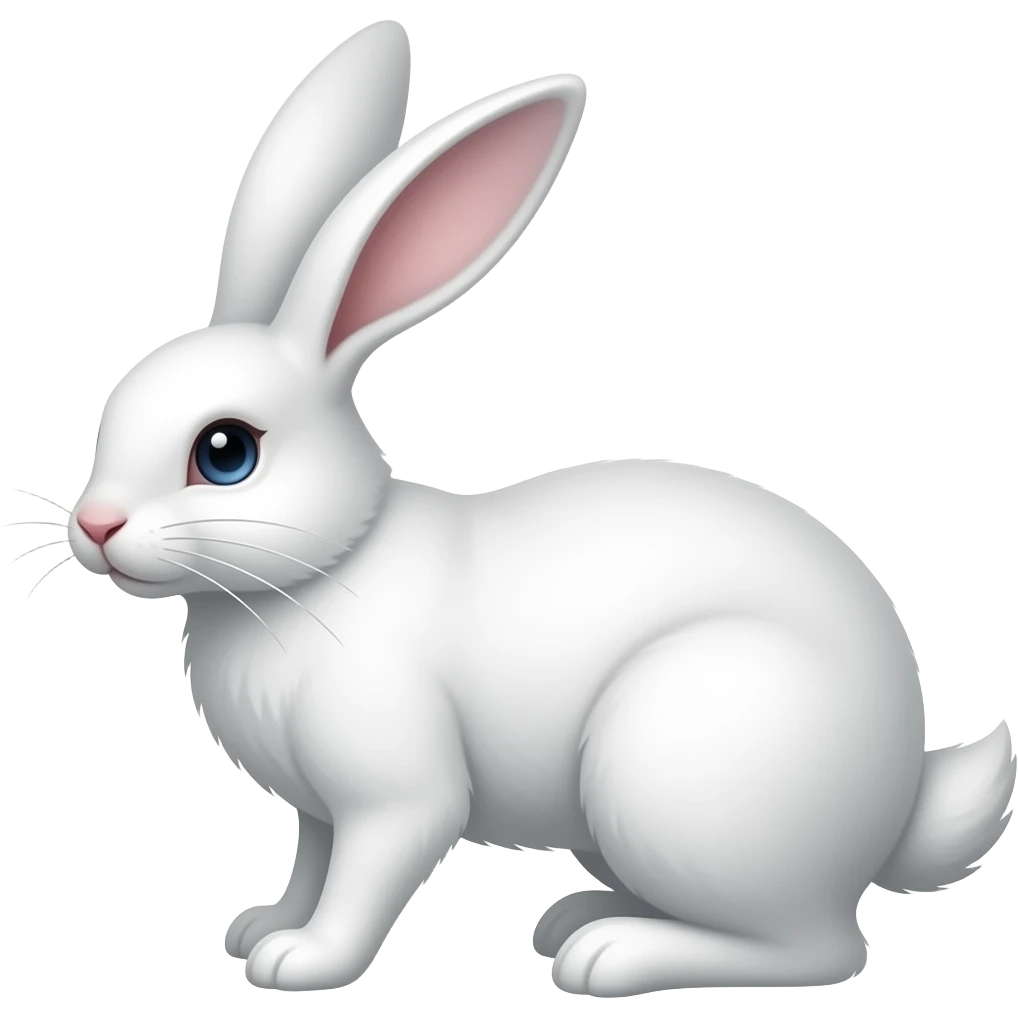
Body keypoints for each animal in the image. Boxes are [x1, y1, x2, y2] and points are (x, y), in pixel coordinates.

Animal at [63, 20, 1014, 997]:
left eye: (226, 453)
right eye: (110, 409)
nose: (95, 528)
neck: (328, 567)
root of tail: (897, 802)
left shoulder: (393, 792)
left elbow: (365, 875)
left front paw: (307, 960)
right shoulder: (322, 812)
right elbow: (312, 864)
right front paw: (262, 927)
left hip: (671, 770)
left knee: (819, 948)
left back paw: (612, 955)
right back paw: (578, 917)